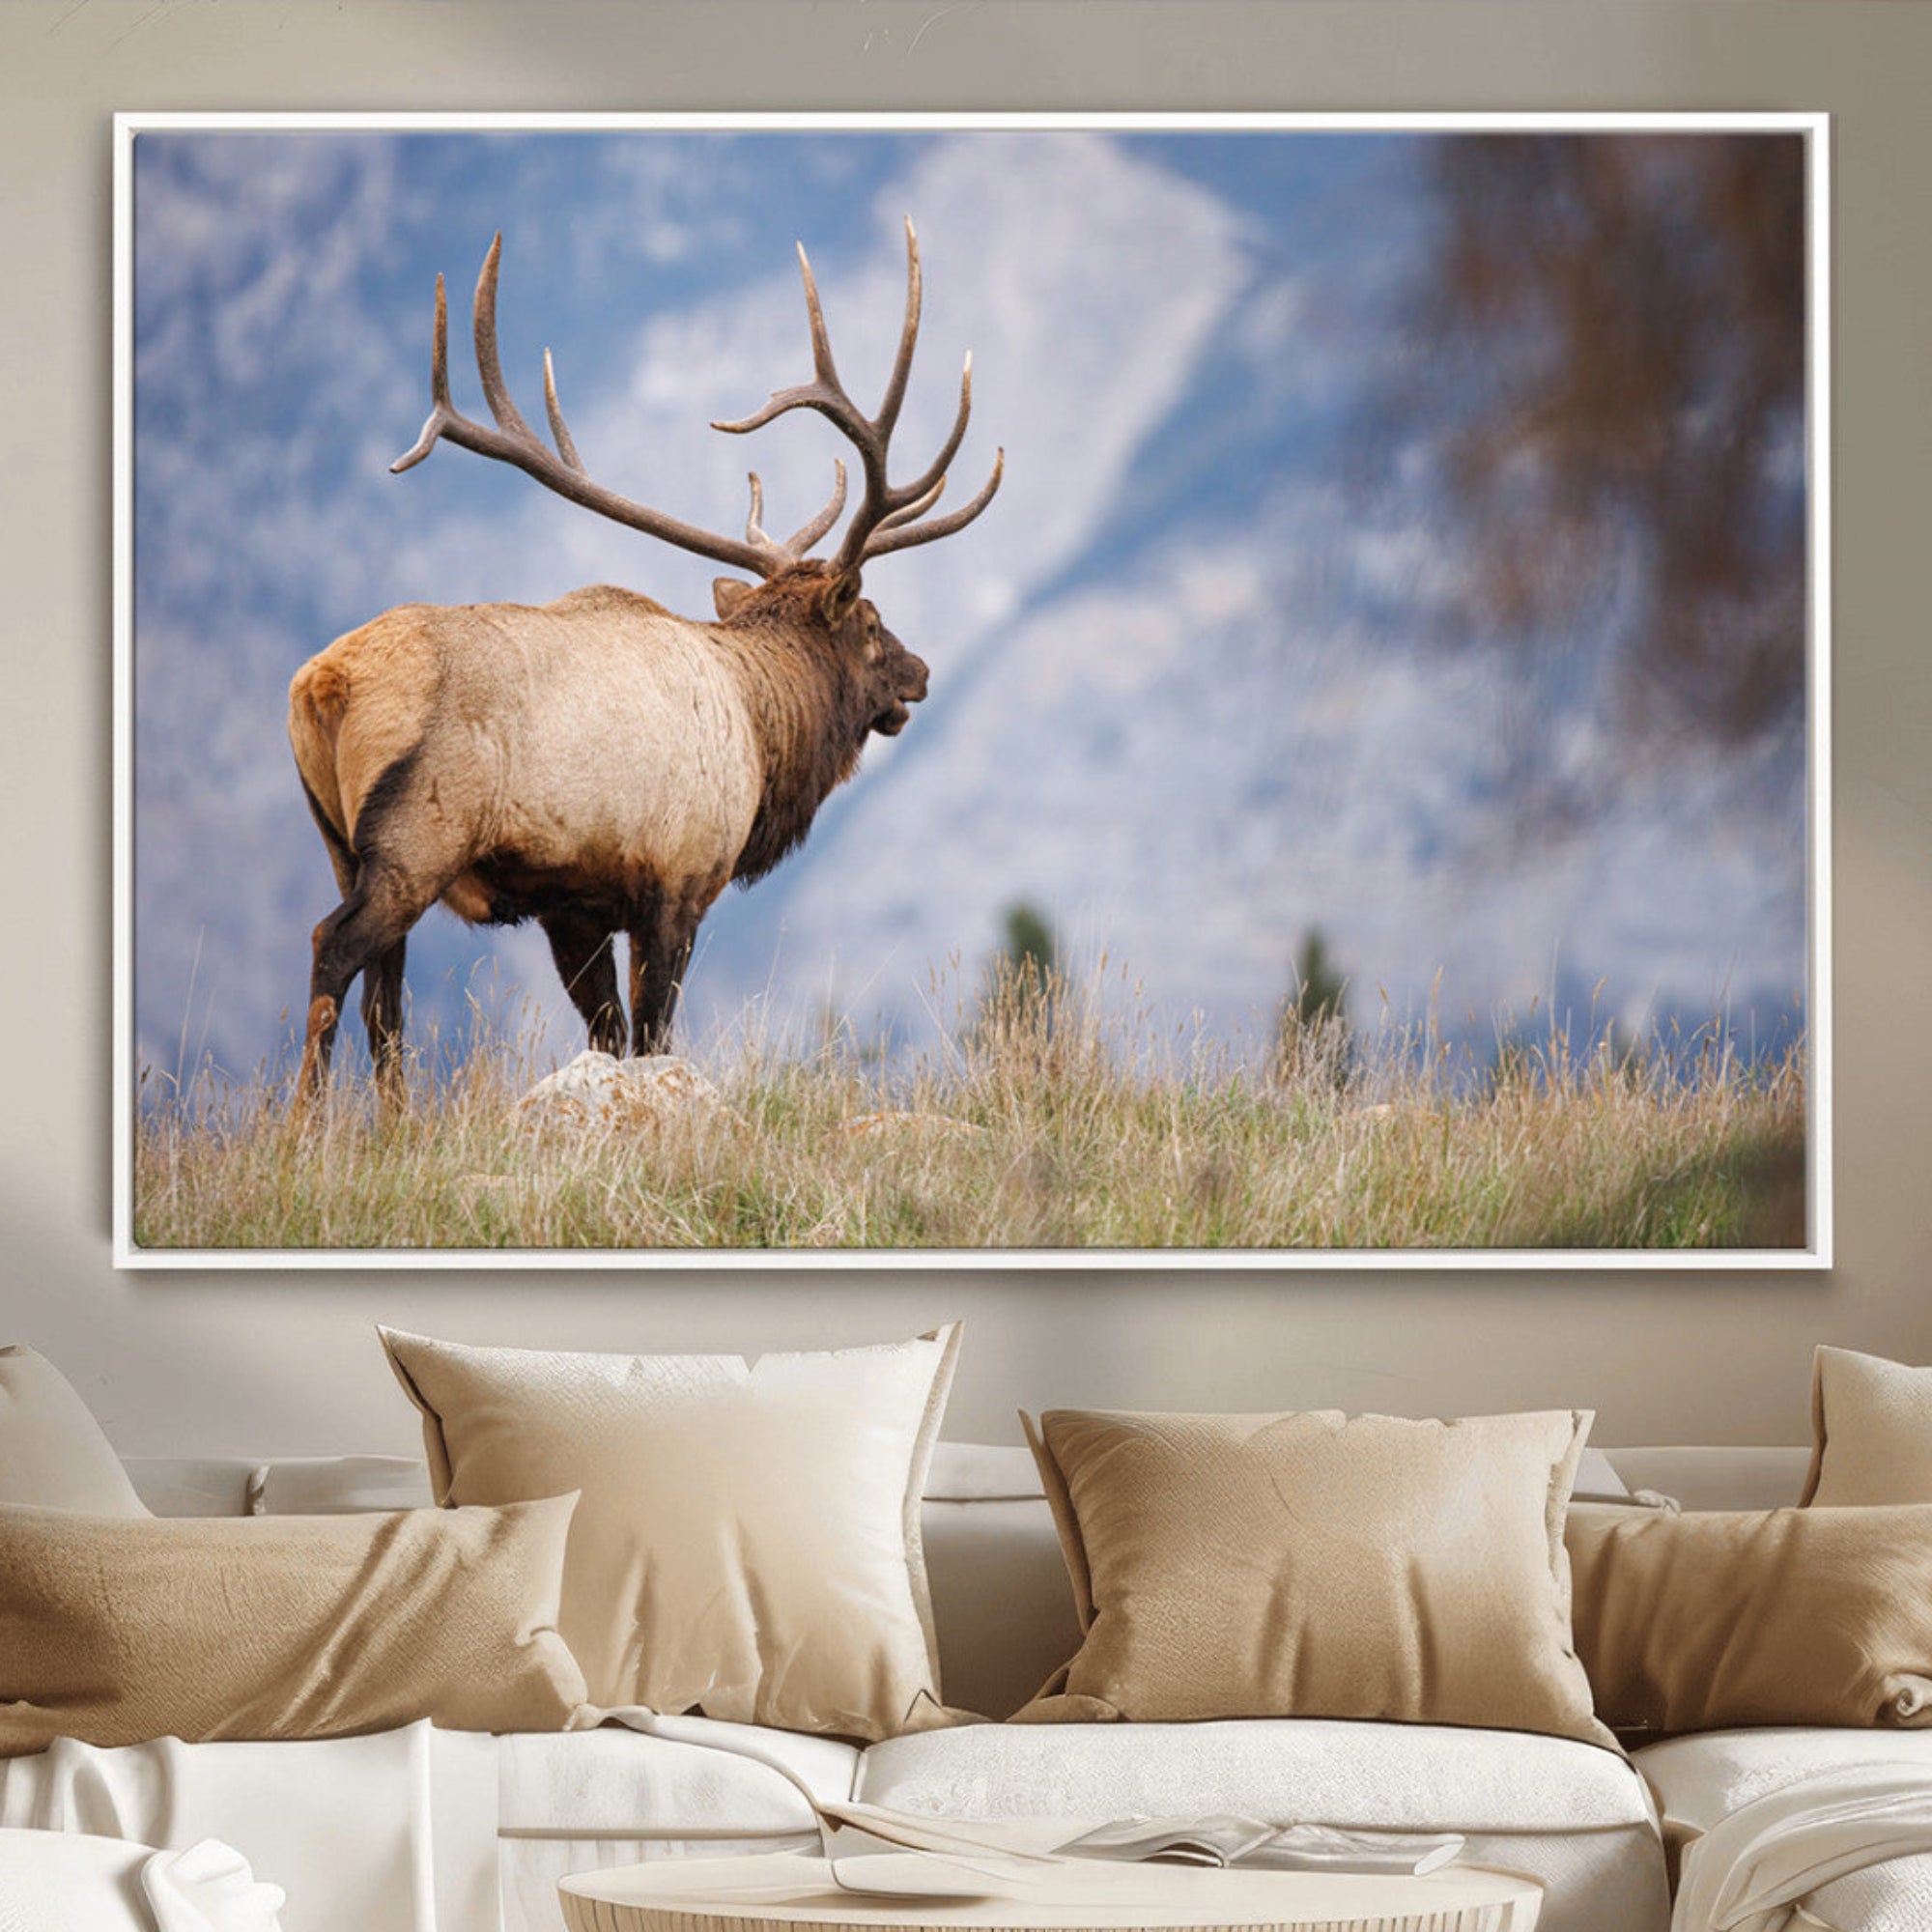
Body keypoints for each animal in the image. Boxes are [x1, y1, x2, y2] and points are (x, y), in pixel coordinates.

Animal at [288, 220, 1000, 1110]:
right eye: (871, 622)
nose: (922, 672)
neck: (762, 736)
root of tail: (324, 685)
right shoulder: (680, 881)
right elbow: (654, 1035)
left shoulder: (574, 905)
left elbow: (609, 1036)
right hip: (416, 838)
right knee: (334, 950)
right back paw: (300, 1124)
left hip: (339, 843)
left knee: (386, 1001)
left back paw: (395, 1126)